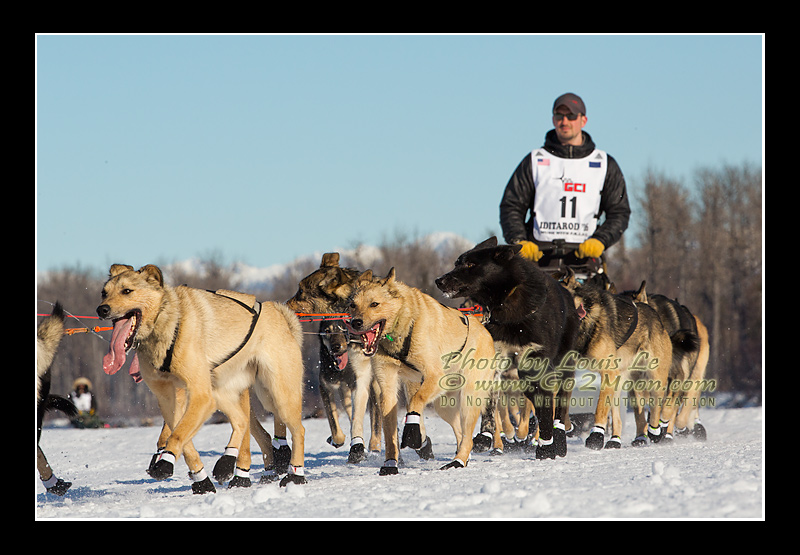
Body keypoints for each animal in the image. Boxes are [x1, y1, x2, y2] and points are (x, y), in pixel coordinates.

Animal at [94, 262, 306, 494]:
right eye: (104, 292)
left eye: (127, 291)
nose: (102, 309)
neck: (169, 323)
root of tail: (279, 313)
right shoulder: (169, 399)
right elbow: (181, 437)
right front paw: (200, 480)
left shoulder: (200, 396)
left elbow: (178, 434)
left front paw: (166, 461)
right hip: (222, 392)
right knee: (242, 421)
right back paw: (227, 463)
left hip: (278, 395)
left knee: (298, 430)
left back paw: (295, 474)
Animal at [346, 268, 496, 474]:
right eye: (353, 305)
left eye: (374, 304)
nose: (355, 323)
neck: (403, 326)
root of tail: (485, 330)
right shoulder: (387, 387)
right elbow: (390, 433)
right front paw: (390, 464)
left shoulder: (434, 376)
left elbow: (416, 400)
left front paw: (412, 430)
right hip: (444, 406)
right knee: (460, 433)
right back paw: (461, 459)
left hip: (468, 399)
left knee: (467, 437)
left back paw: (458, 461)